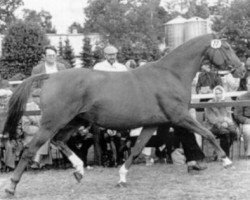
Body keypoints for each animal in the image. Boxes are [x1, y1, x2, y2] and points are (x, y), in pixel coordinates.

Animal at [2, 33, 244, 195]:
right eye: (227, 47)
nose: (241, 69)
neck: (170, 75)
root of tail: (51, 77)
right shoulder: (180, 116)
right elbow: (208, 133)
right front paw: (226, 162)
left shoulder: (152, 124)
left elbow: (136, 150)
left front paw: (122, 178)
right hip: (52, 122)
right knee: (30, 149)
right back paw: (12, 187)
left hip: (73, 121)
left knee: (58, 141)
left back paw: (79, 171)